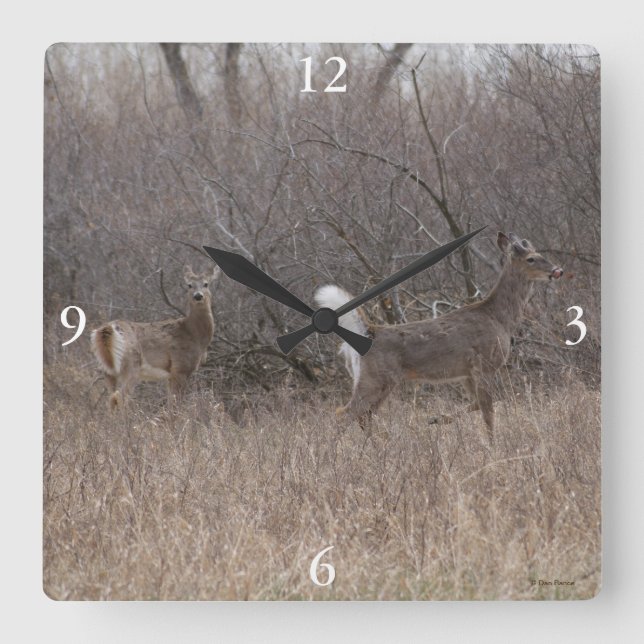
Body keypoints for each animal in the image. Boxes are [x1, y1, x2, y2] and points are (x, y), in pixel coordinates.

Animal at [90, 265, 220, 409]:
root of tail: (105, 330)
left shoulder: (171, 374)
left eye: (206, 284)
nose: (198, 296)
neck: (194, 333)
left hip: (107, 370)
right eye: (189, 285)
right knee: (120, 398)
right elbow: (176, 403)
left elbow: (171, 401)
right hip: (131, 365)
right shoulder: (180, 367)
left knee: (111, 398)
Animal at [315, 232, 564, 444]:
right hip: (375, 378)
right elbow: (488, 412)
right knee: (344, 413)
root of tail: (368, 331)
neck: (500, 318)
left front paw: (436, 419)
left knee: (364, 415)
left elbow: (476, 404)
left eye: (540, 254)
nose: (557, 270)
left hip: (378, 380)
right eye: (531, 259)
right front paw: (493, 446)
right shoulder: (484, 364)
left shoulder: (466, 372)